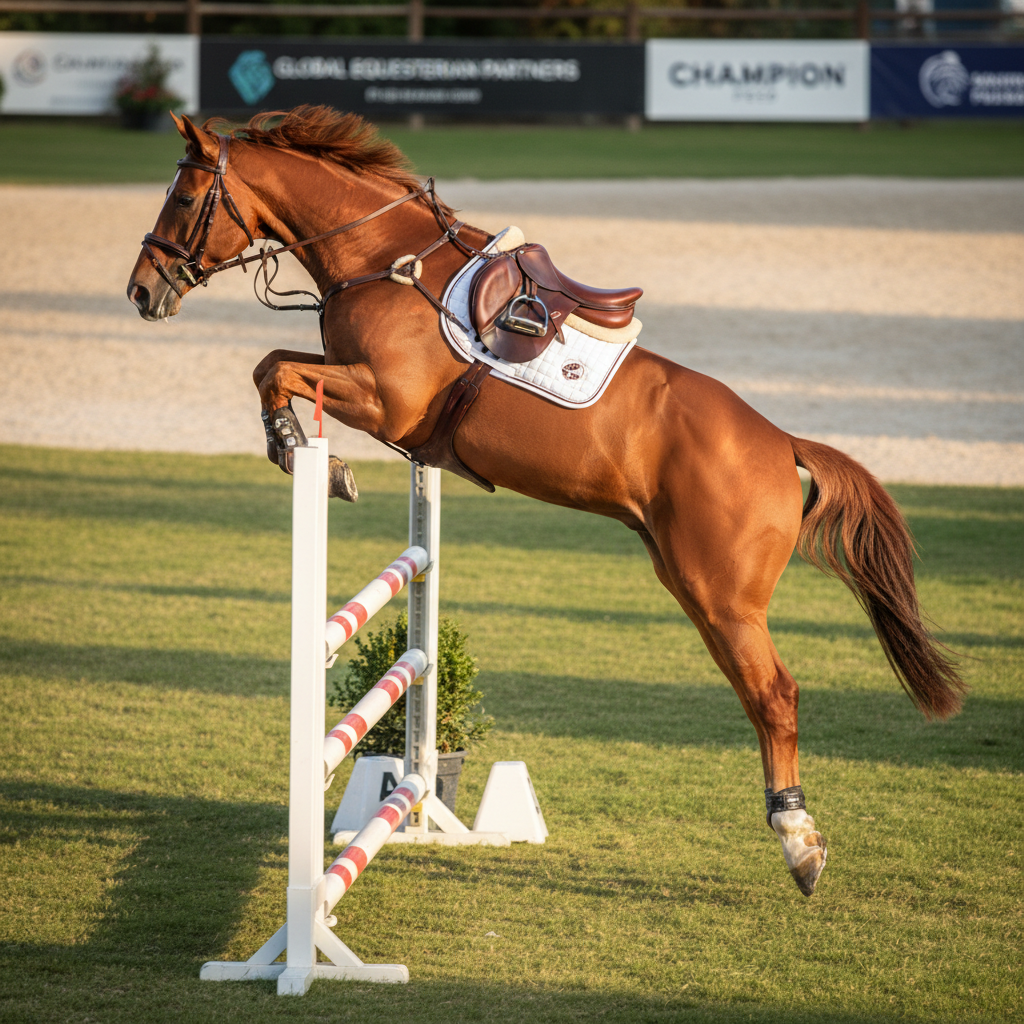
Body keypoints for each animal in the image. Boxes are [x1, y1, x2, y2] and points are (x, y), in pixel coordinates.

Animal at [127, 106, 965, 898]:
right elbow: (276, 362)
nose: (142, 291)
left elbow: (274, 369)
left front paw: (300, 451)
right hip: (690, 584)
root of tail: (781, 441)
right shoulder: (366, 391)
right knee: (758, 692)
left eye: (186, 196)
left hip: (722, 595)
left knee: (774, 695)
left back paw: (799, 842)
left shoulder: (386, 401)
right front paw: (300, 445)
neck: (382, 263)